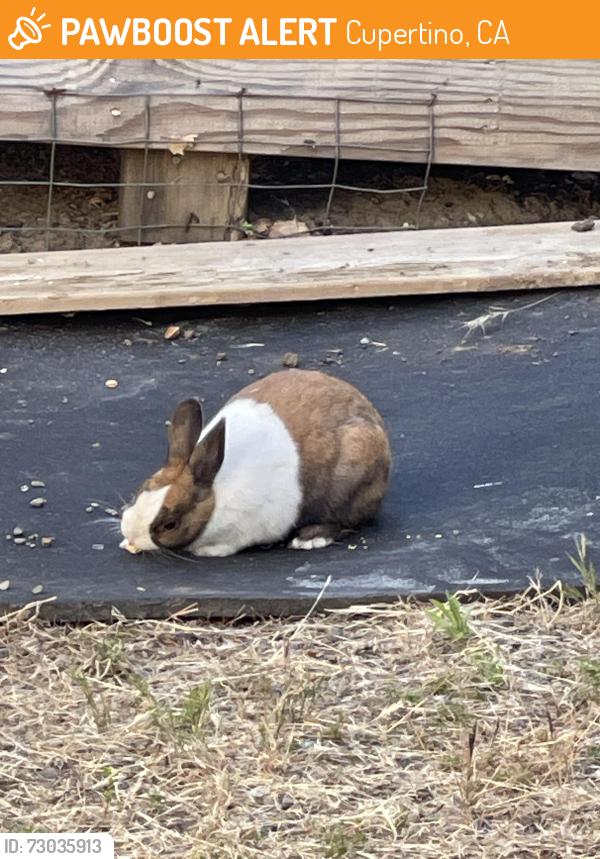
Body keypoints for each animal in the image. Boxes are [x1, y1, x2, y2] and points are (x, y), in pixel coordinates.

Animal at [120, 369, 391, 557]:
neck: (214, 491)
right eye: (137, 494)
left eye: (170, 525)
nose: (130, 534)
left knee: (346, 521)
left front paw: (205, 552)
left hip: (348, 487)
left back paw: (308, 539)